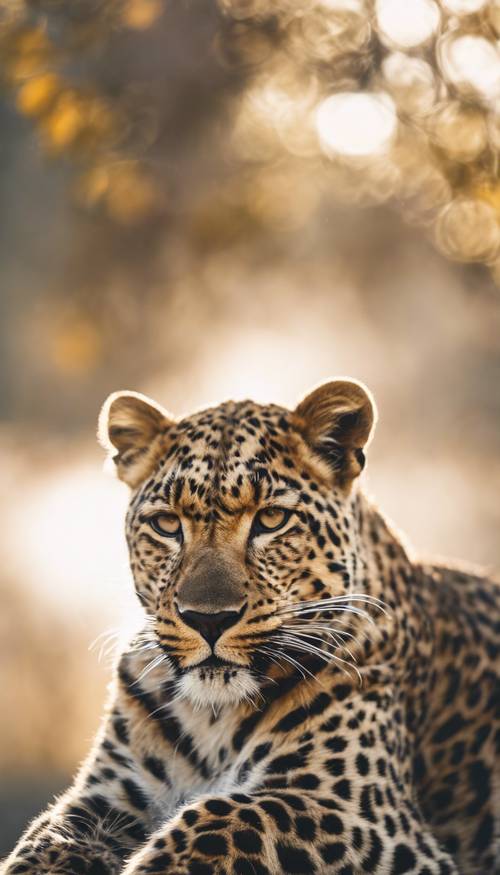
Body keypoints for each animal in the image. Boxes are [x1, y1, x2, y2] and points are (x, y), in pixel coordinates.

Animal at [3, 378, 500, 875]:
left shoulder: (357, 810)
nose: (208, 619)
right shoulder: (104, 797)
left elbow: (222, 819)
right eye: (166, 524)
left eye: (271, 519)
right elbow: (44, 844)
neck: (212, 719)